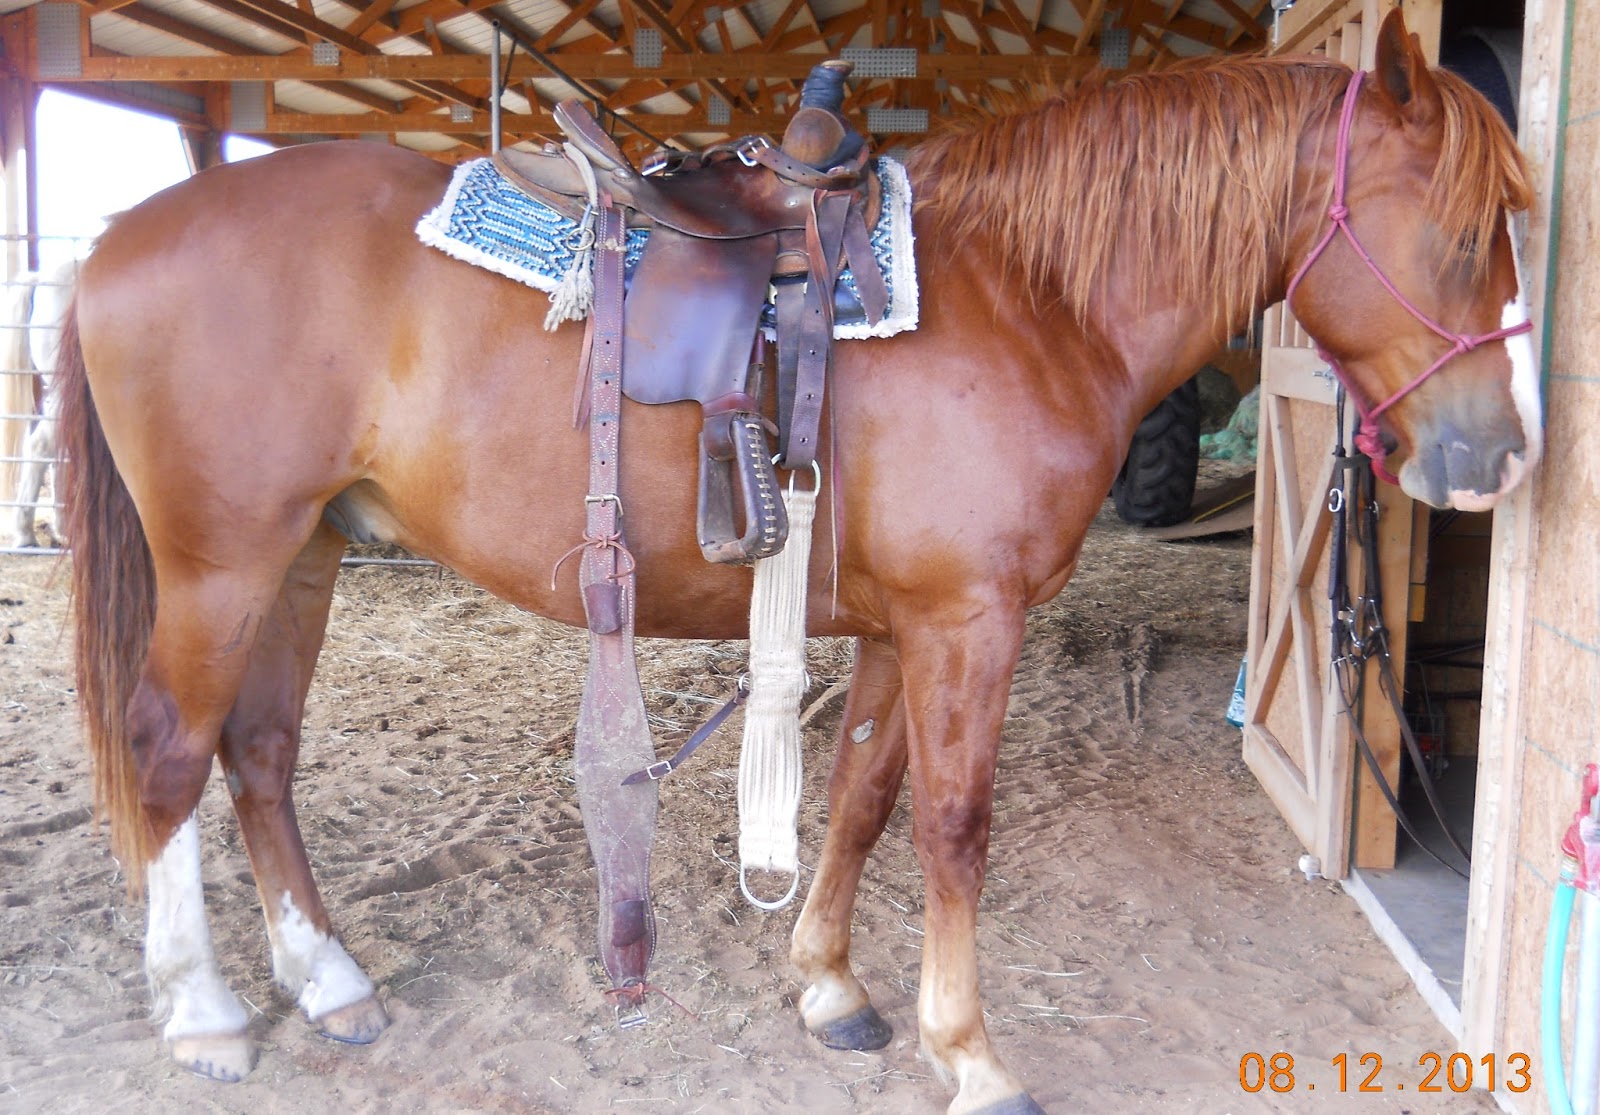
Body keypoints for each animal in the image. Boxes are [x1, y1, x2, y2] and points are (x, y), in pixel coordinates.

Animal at [52, 13, 1537, 1112]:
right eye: (1466, 236)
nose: (1499, 459)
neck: (1029, 295)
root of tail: (118, 238)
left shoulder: (898, 623)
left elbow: (866, 797)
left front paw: (832, 984)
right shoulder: (967, 621)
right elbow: (953, 823)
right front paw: (972, 1050)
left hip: (304, 554)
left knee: (258, 751)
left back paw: (329, 979)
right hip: (222, 563)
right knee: (169, 748)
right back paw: (206, 1008)